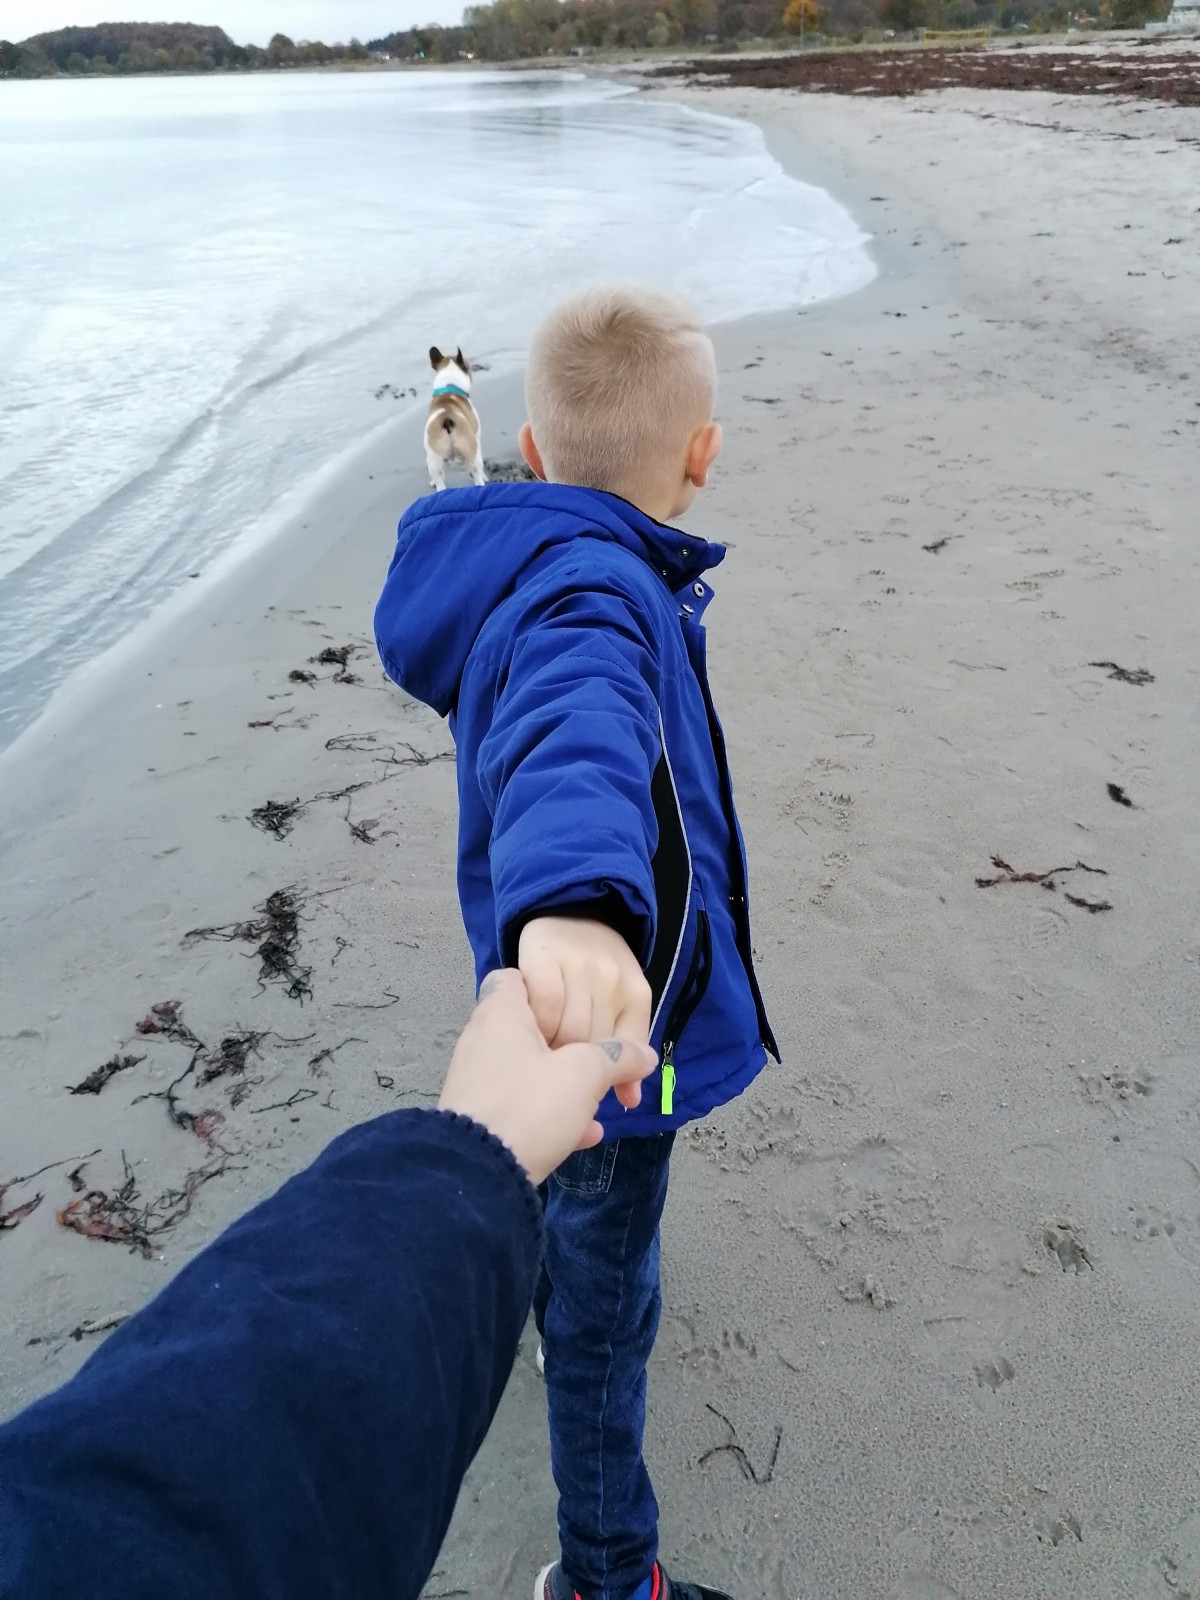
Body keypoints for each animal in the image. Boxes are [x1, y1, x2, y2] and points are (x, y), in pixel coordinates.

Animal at [425, 346, 486, 492]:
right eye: (468, 366)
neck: (449, 386)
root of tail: (447, 420)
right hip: (473, 453)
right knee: (477, 475)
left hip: (433, 458)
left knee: (439, 479)